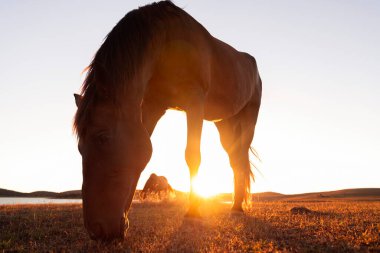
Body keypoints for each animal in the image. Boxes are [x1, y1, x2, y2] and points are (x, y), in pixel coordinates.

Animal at [73, 0, 262, 240]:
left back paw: (237, 209)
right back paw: (236, 206)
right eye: (79, 147)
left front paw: (193, 212)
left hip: (249, 119)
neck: (165, 43)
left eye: (103, 137)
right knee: (236, 158)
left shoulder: (194, 101)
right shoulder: (153, 105)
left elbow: (192, 155)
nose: (97, 230)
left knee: (240, 160)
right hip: (225, 123)